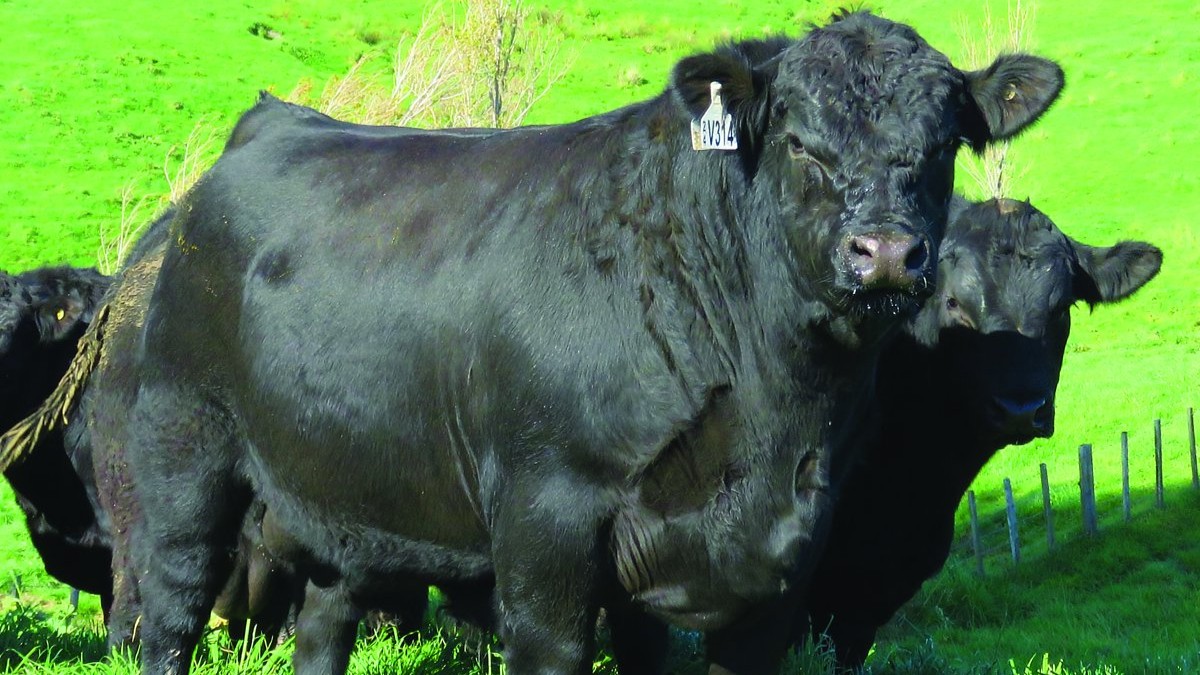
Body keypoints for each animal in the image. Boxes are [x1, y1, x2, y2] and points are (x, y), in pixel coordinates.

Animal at [121, 11, 1063, 674]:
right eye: (801, 142)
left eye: (944, 145)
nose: (888, 253)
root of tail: (277, 121)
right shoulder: (546, 524)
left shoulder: (780, 560)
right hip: (180, 452)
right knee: (169, 609)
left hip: (343, 494)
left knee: (324, 621)